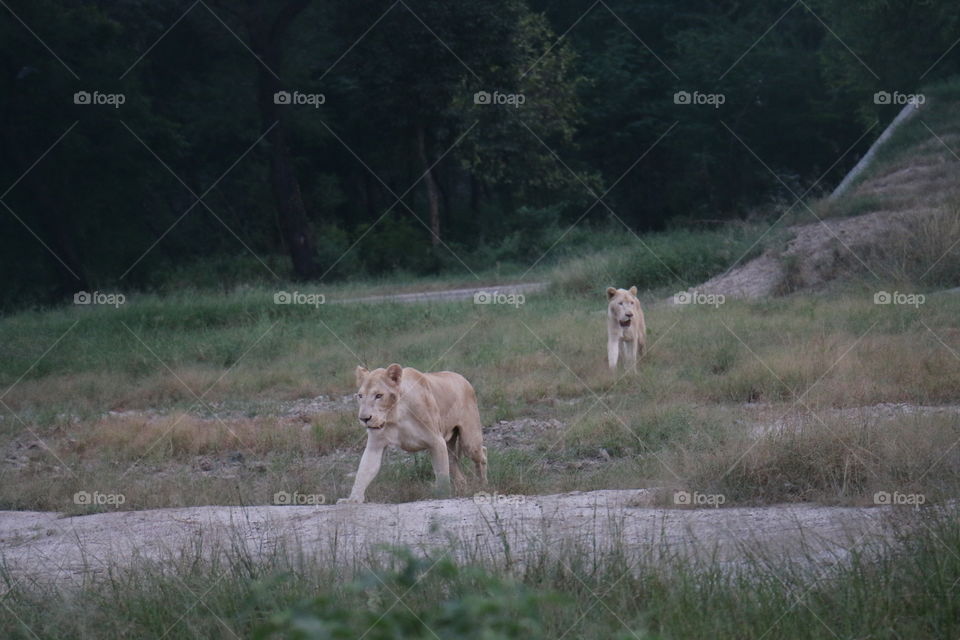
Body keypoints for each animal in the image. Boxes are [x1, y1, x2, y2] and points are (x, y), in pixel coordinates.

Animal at [338, 362, 488, 502]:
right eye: (360, 396)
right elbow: (364, 471)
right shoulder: (375, 445)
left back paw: (482, 485)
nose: (364, 418)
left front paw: (443, 496)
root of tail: (463, 378)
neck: (395, 415)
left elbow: (441, 474)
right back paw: (462, 488)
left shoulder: (436, 441)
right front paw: (352, 500)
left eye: (379, 395)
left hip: (469, 443)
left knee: (482, 452)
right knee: (453, 463)